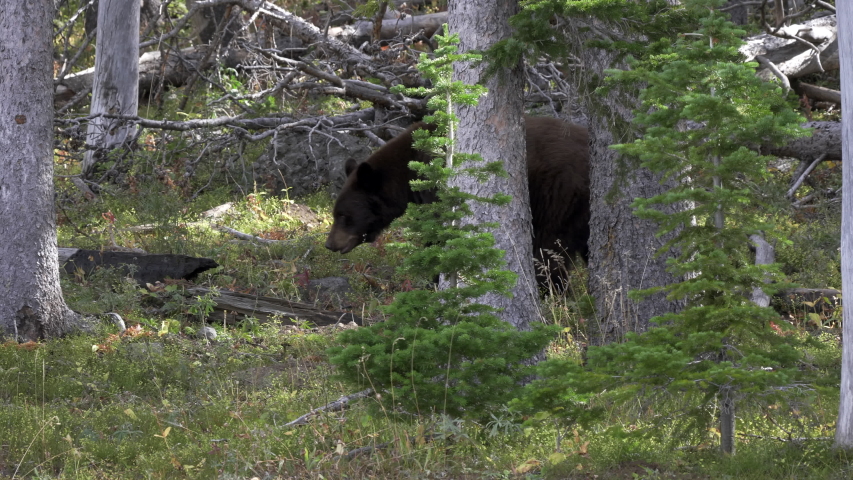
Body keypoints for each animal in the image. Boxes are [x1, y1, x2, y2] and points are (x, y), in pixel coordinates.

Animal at [324, 116, 590, 289]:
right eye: (336, 213)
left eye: (344, 216)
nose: (329, 244)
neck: (408, 173)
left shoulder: (438, 187)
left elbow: (438, 235)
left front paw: (433, 280)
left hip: (557, 197)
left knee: (548, 251)